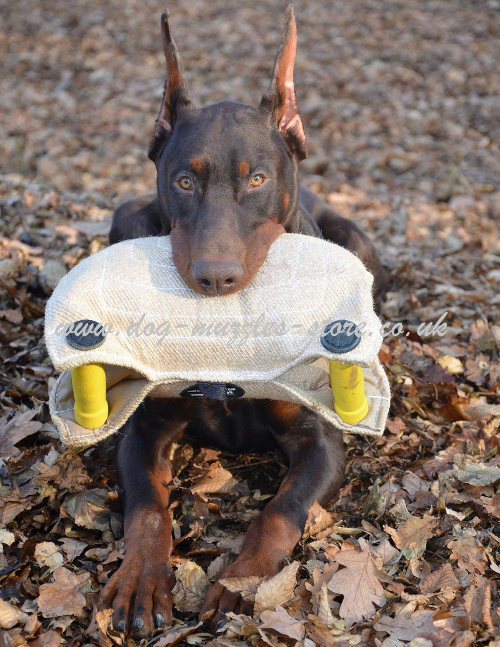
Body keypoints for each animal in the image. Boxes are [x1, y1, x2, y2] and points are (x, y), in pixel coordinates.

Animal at [101, 5, 388, 636]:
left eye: (256, 178)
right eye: (184, 180)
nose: (215, 278)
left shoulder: (318, 441)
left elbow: (279, 512)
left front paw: (241, 583)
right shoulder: (146, 429)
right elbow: (148, 510)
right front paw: (141, 580)